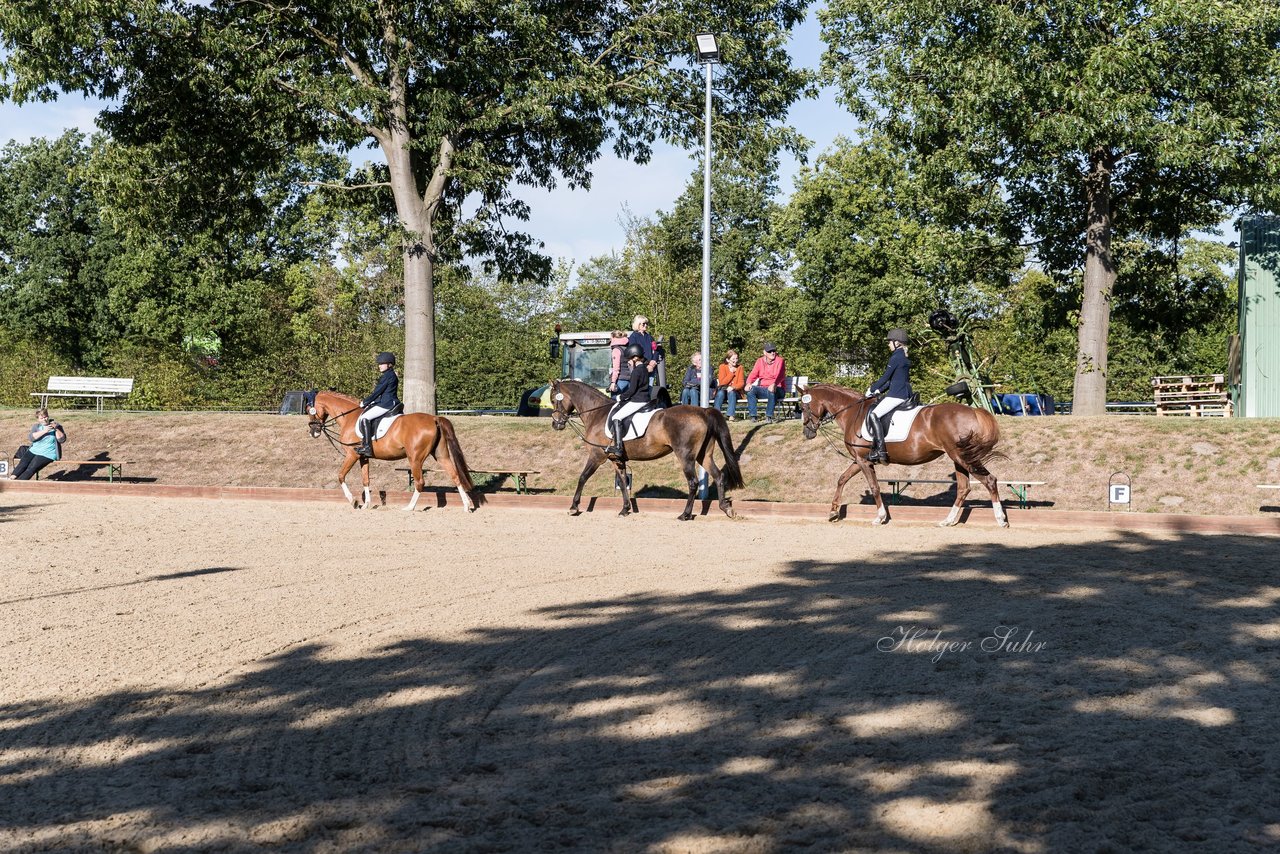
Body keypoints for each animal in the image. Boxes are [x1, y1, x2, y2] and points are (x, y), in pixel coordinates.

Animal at [305, 391, 481, 512]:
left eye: (308, 410)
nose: (313, 432)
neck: (350, 417)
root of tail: (434, 418)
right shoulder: (363, 457)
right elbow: (365, 480)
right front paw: (366, 504)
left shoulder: (352, 454)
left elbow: (341, 476)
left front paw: (353, 501)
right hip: (440, 455)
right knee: (455, 475)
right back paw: (467, 506)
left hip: (415, 458)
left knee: (420, 482)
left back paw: (409, 507)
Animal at [547, 381, 747, 522]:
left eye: (554, 400)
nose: (556, 424)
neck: (597, 414)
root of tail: (703, 411)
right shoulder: (616, 459)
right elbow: (622, 483)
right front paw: (625, 509)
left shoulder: (597, 456)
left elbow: (582, 477)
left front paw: (573, 507)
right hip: (703, 455)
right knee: (718, 476)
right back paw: (726, 508)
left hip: (685, 456)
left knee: (693, 482)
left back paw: (685, 514)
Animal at [793, 381, 1003, 527]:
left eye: (803, 407)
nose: (807, 433)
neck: (852, 412)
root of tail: (974, 411)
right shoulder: (860, 460)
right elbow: (842, 479)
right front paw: (833, 512)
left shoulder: (863, 461)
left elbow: (874, 487)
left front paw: (880, 517)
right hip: (959, 459)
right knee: (963, 488)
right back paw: (948, 521)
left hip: (962, 457)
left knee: (989, 480)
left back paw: (1001, 519)